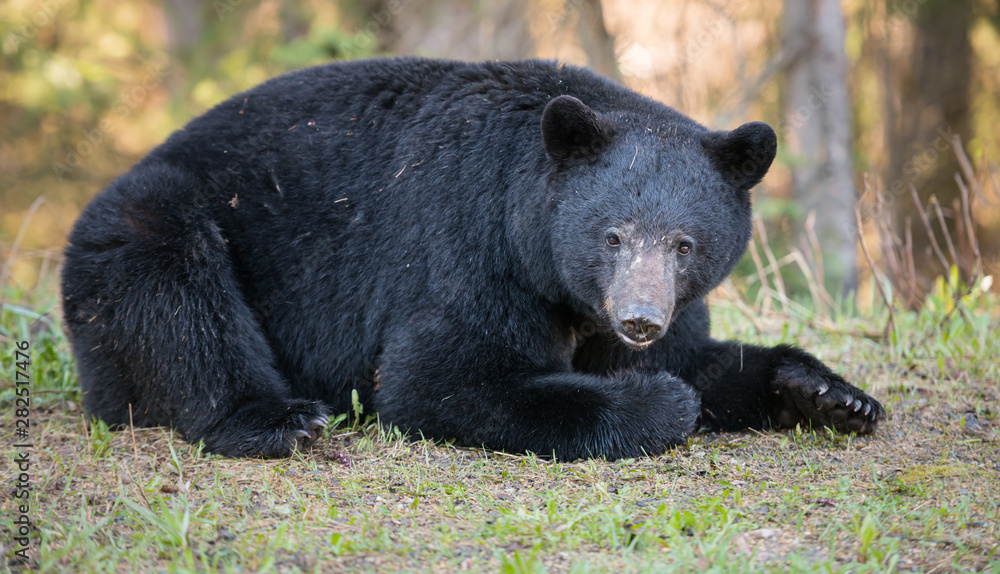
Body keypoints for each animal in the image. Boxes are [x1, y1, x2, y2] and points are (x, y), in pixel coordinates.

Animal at [61, 57, 885, 459]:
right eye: (612, 235)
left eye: (684, 244)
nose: (639, 318)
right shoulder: (468, 245)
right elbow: (437, 378)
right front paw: (656, 403)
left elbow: (700, 357)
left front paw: (830, 395)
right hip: (150, 220)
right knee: (179, 300)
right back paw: (277, 419)